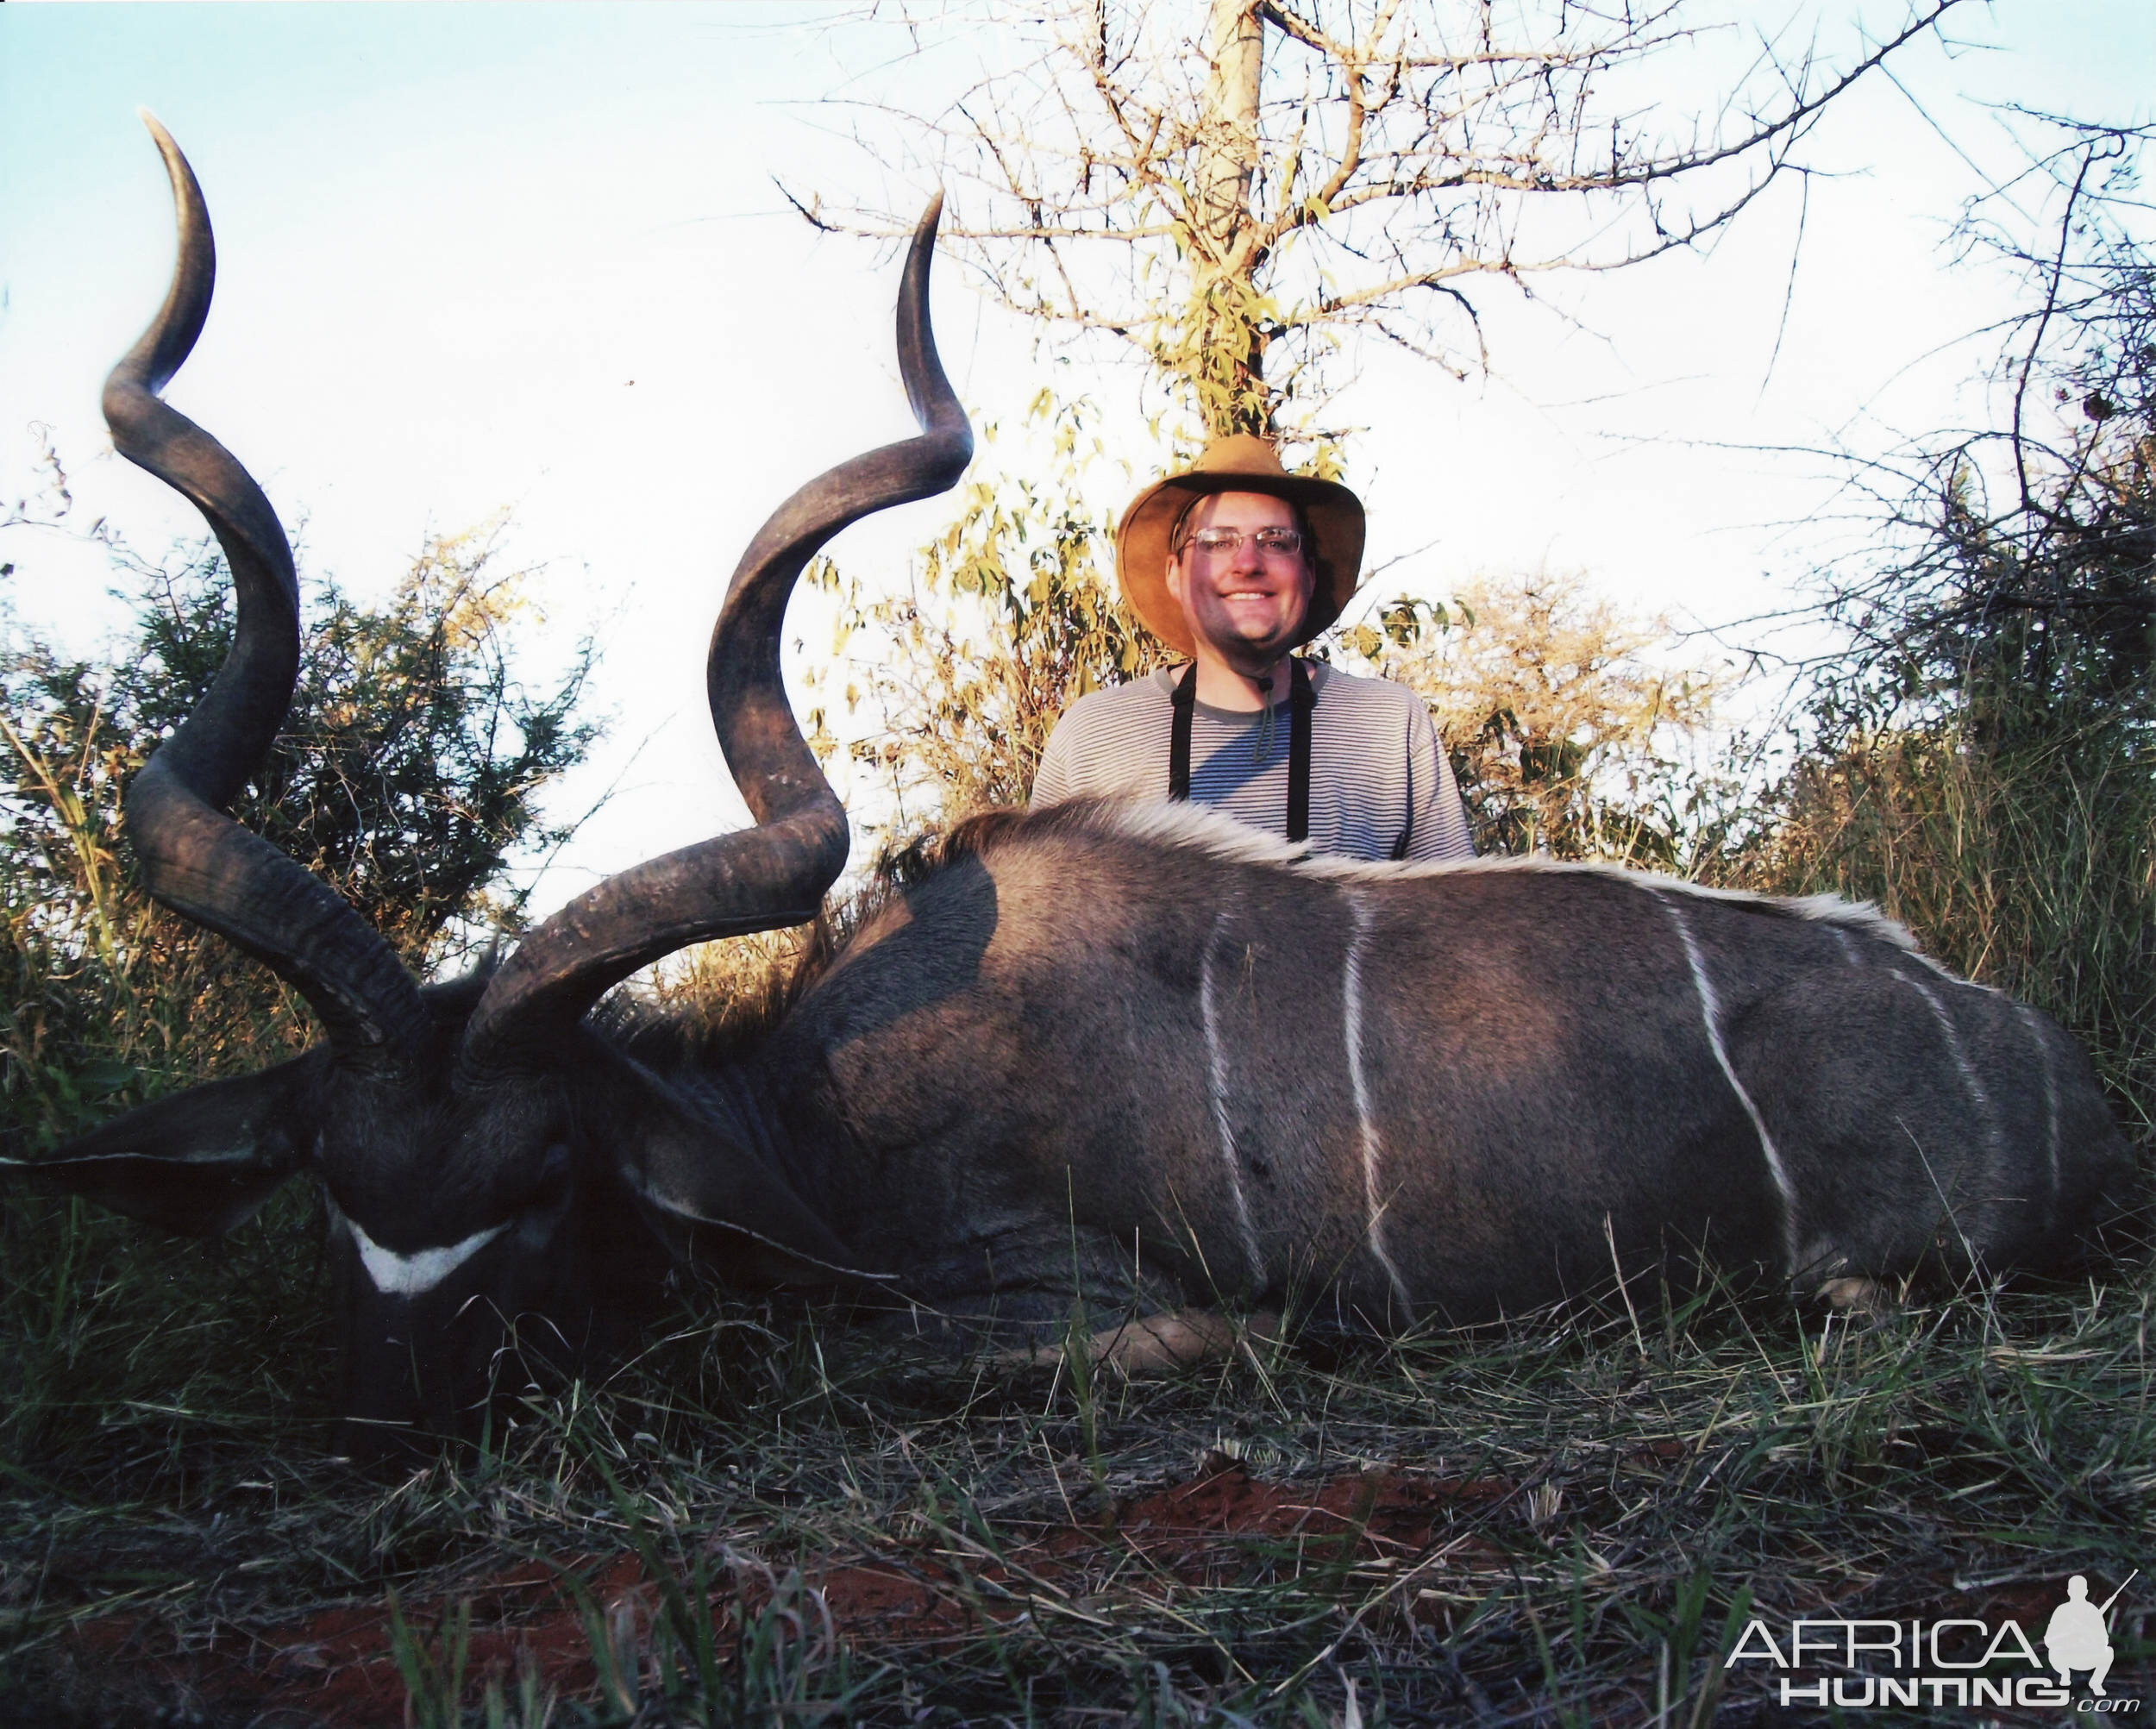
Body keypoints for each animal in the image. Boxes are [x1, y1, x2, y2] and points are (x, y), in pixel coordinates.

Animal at [12, 121, 2139, 1457]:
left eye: (541, 1188)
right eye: (328, 1186)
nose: (392, 1426)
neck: (818, 1108)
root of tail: (2045, 1057)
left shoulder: (1043, 1293)